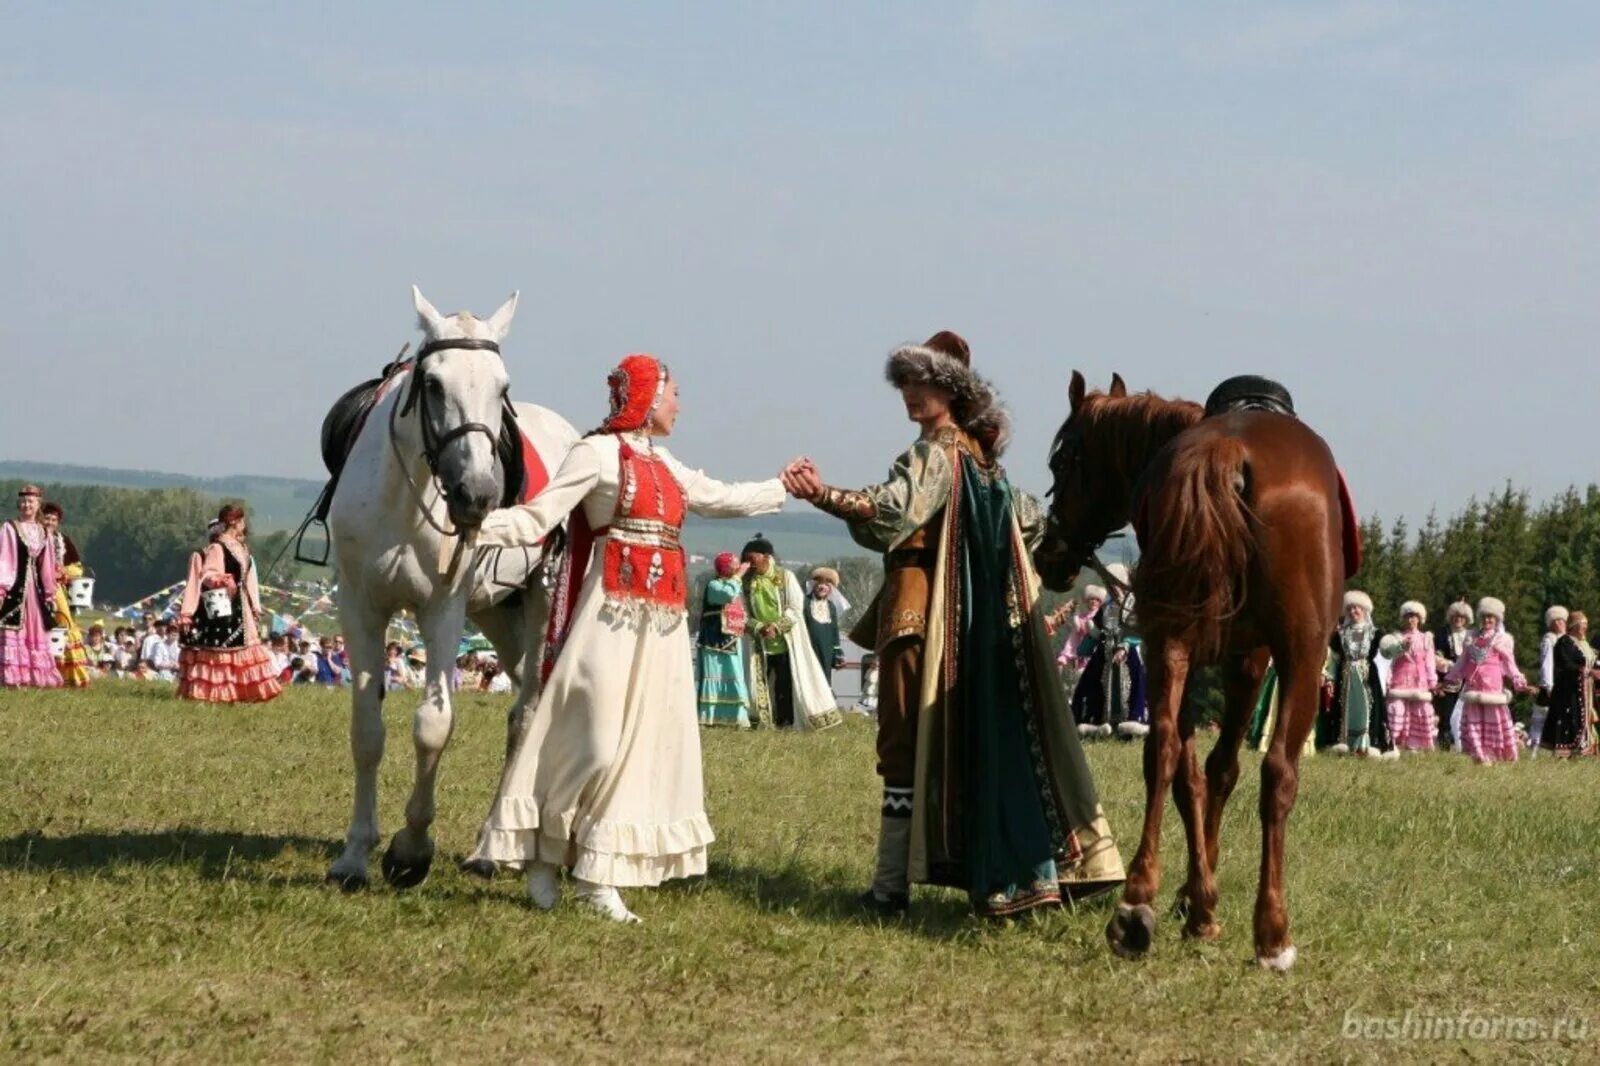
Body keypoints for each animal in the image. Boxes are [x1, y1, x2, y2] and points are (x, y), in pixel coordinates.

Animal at [323, 284, 576, 889]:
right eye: (433, 384)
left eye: (502, 388)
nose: (478, 494)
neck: (404, 494)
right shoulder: (360, 607)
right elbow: (367, 730)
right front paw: (355, 854)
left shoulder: (442, 610)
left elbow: (433, 725)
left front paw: (410, 850)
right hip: (496, 616)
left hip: (539, 604)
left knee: (525, 716)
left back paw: (491, 849)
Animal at [1036, 369, 1350, 966]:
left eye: (1061, 462)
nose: (1049, 556)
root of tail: (1227, 453)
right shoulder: (1248, 658)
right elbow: (1220, 771)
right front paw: (1198, 901)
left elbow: (1190, 772)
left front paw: (1194, 900)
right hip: (1289, 651)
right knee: (1275, 771)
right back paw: (1268, 932)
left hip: (1177, 640)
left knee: (1163, 747)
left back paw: (1137, 909)